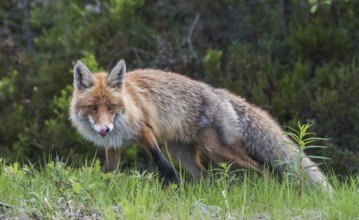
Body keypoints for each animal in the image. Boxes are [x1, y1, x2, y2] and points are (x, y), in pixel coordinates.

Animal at [70, 58, 334, 191]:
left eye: (111, 107)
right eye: (93, 108)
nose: (104, 129)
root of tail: (219, 92)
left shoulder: (145, 130)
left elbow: (158, 159)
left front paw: (172, 180)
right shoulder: (113, 146)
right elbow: (110, 172)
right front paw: (107, 187)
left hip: (216, 151)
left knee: (261, 168)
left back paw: (269, 189)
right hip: (183, 154)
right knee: (207, 177)